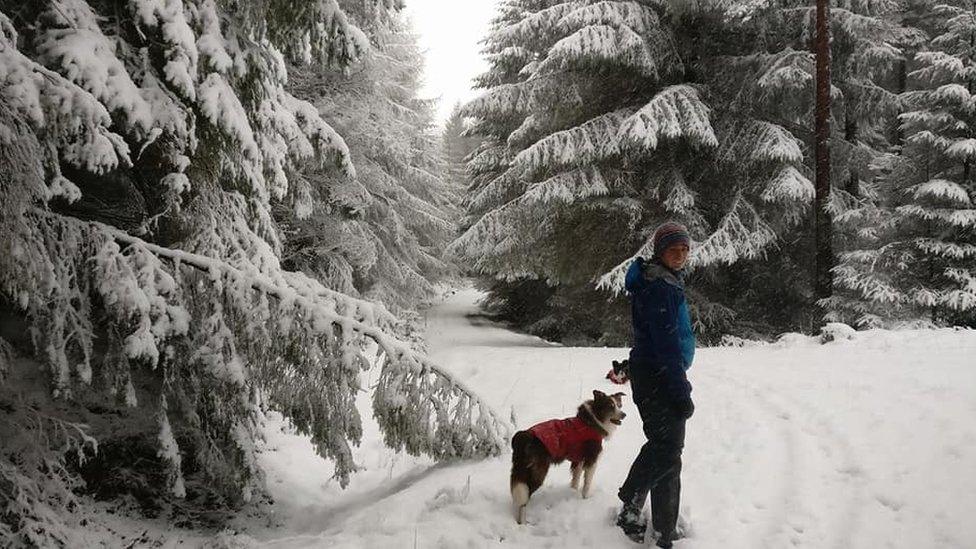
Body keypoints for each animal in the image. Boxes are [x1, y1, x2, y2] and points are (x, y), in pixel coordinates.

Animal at [508, 390, 628, 524]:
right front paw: (585, 499)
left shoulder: (578, 460)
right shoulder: (591, 460)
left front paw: (573, 492)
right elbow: (587, 483)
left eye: (619, 405)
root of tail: (524, 436)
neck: (592, 421)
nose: (624, 415)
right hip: (538, 472)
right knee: (525, 498)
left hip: (521, 470)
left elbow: (576, 479)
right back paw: (523, 522)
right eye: (610, 406)